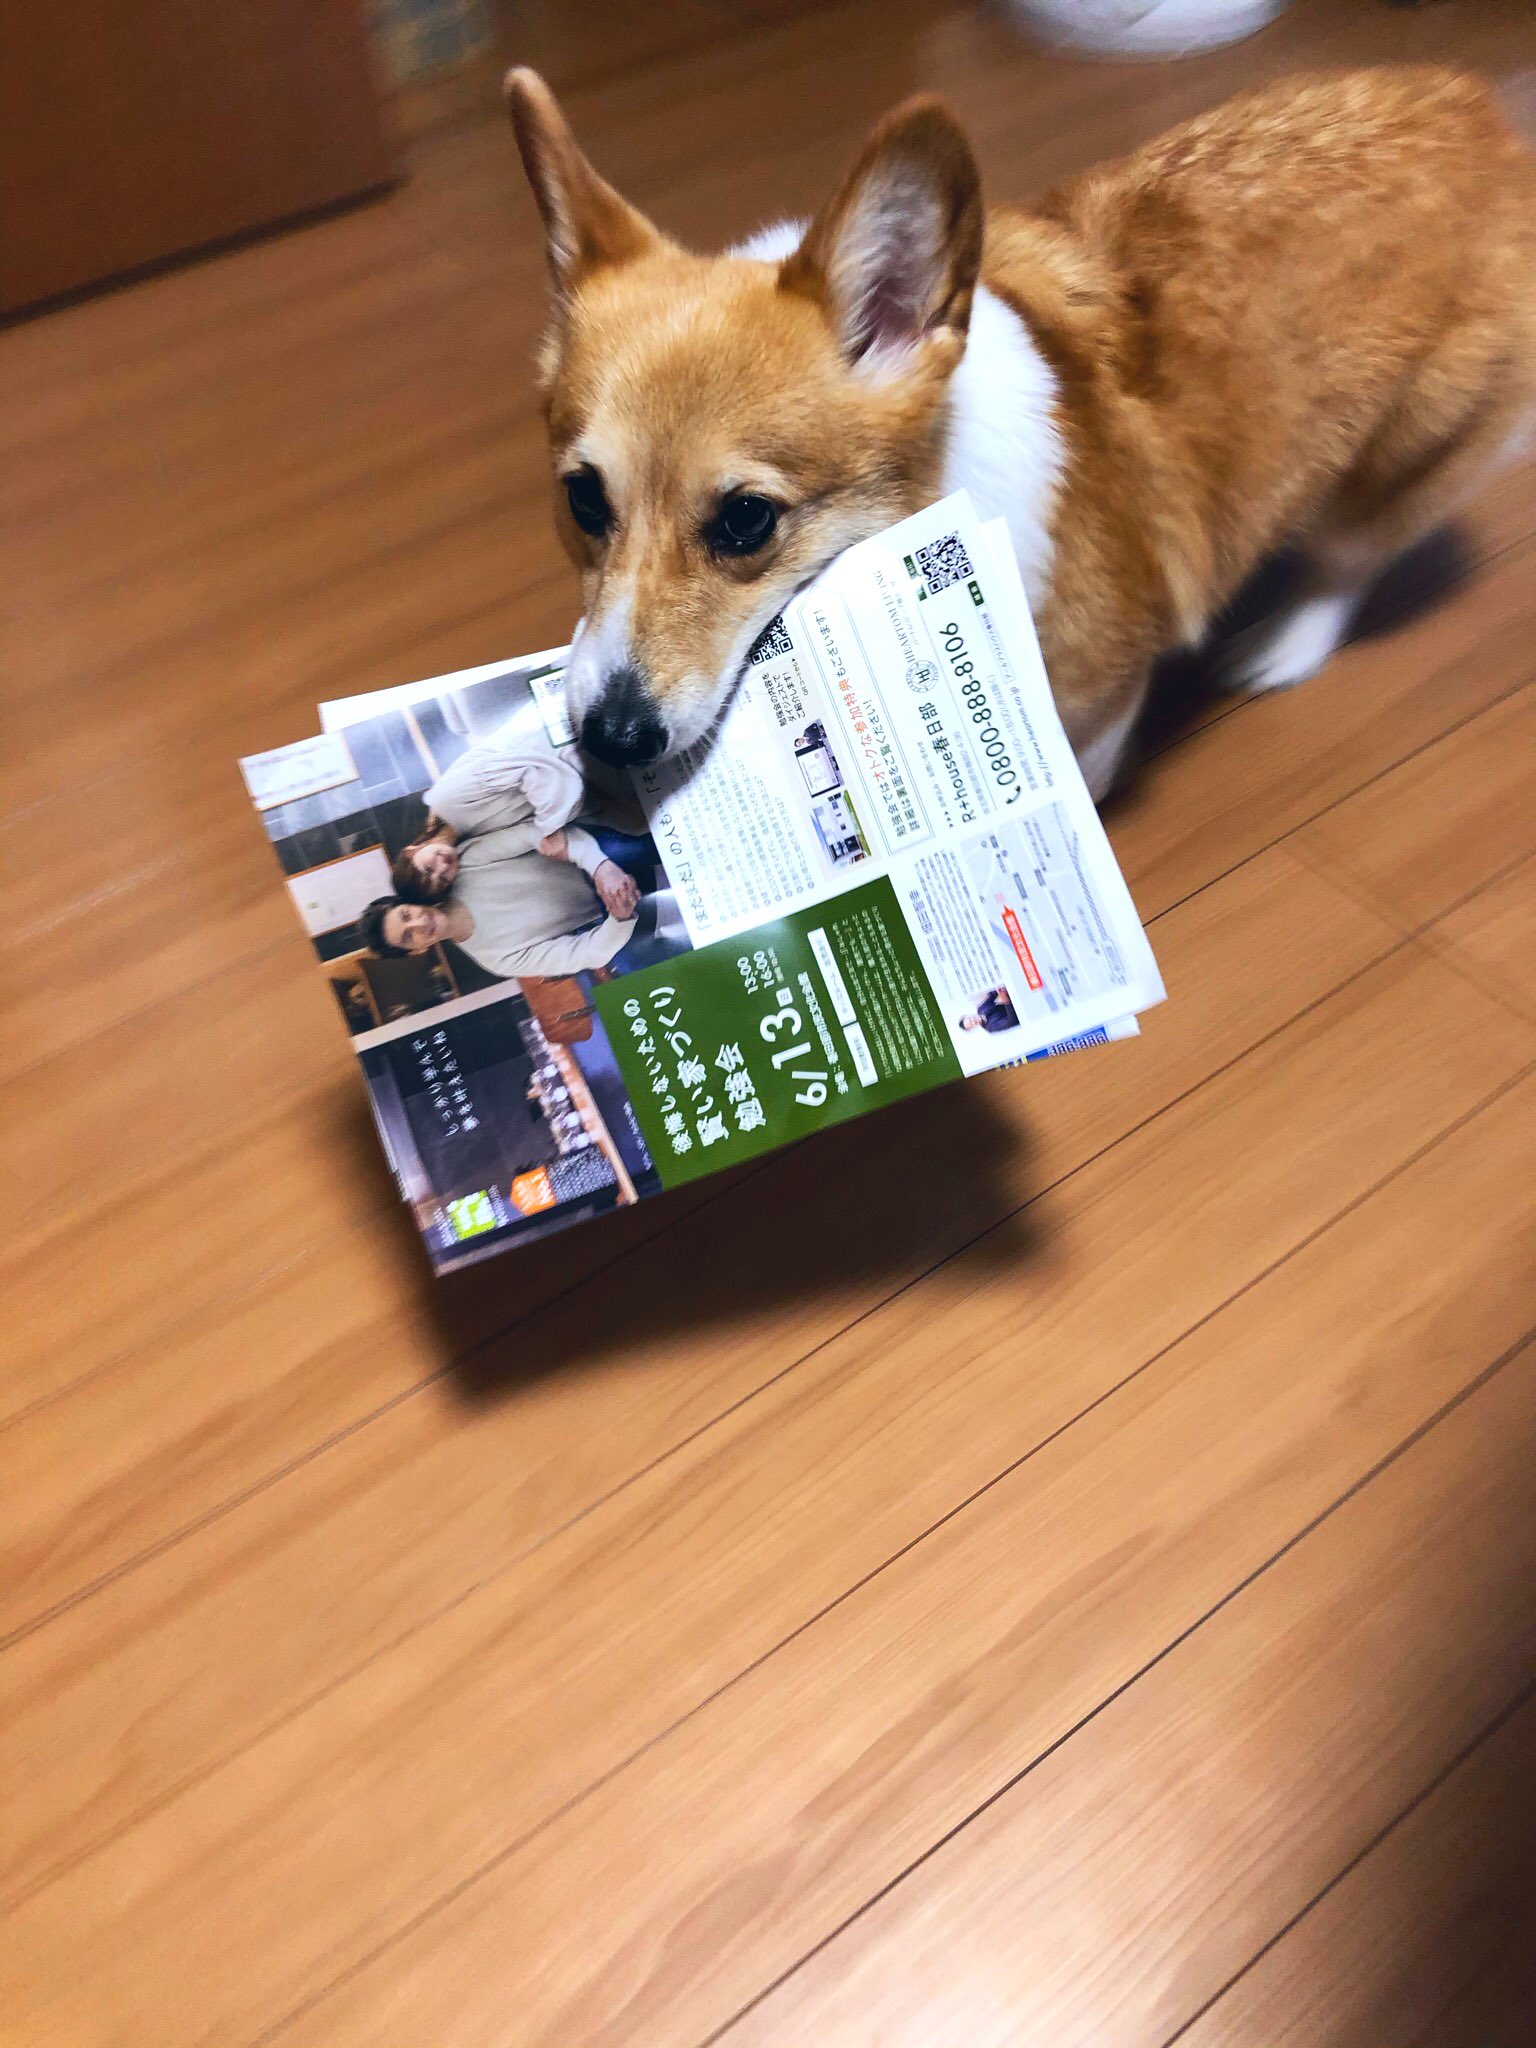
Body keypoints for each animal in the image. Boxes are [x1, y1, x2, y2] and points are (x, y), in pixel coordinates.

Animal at [504, 65, 1534, 800]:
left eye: (748, 521)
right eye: (582, 500)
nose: (609, 738)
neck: (934, 499)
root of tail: (1484, 113)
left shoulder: (1103, 691)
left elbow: (1081, 766)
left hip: (1399, 452)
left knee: (1355, 554)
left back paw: (1286, 645)